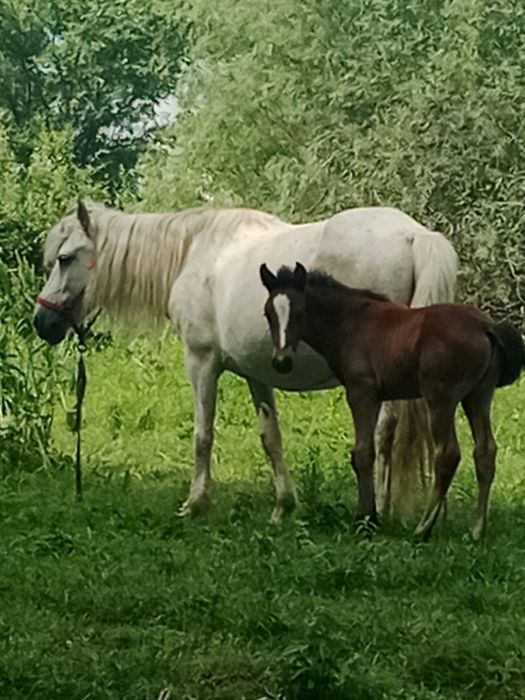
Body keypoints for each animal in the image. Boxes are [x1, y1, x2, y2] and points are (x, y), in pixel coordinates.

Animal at [34, 201, 457, 521]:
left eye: (65, 258)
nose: (42, 323)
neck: (193, 253)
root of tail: (413, 235)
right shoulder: (259, 373)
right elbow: (271, 438)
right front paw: (283, 507)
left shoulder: (201, 363)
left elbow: (203, 436)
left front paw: (195, 503)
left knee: (382, 435)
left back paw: (379, 509)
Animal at [260, 262, 524, 539]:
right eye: (268, 314)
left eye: (300, 313)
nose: (281, 361)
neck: (350, 321)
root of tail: (486, 327)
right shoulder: (377, 396)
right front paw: (372, 515)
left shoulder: (361, 392)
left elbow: (362, 453)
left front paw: (365, 520)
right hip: (478, 396)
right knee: (485, 452)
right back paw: (476, 530)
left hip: (441, 399)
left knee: (448, 454)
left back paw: (423, 528)